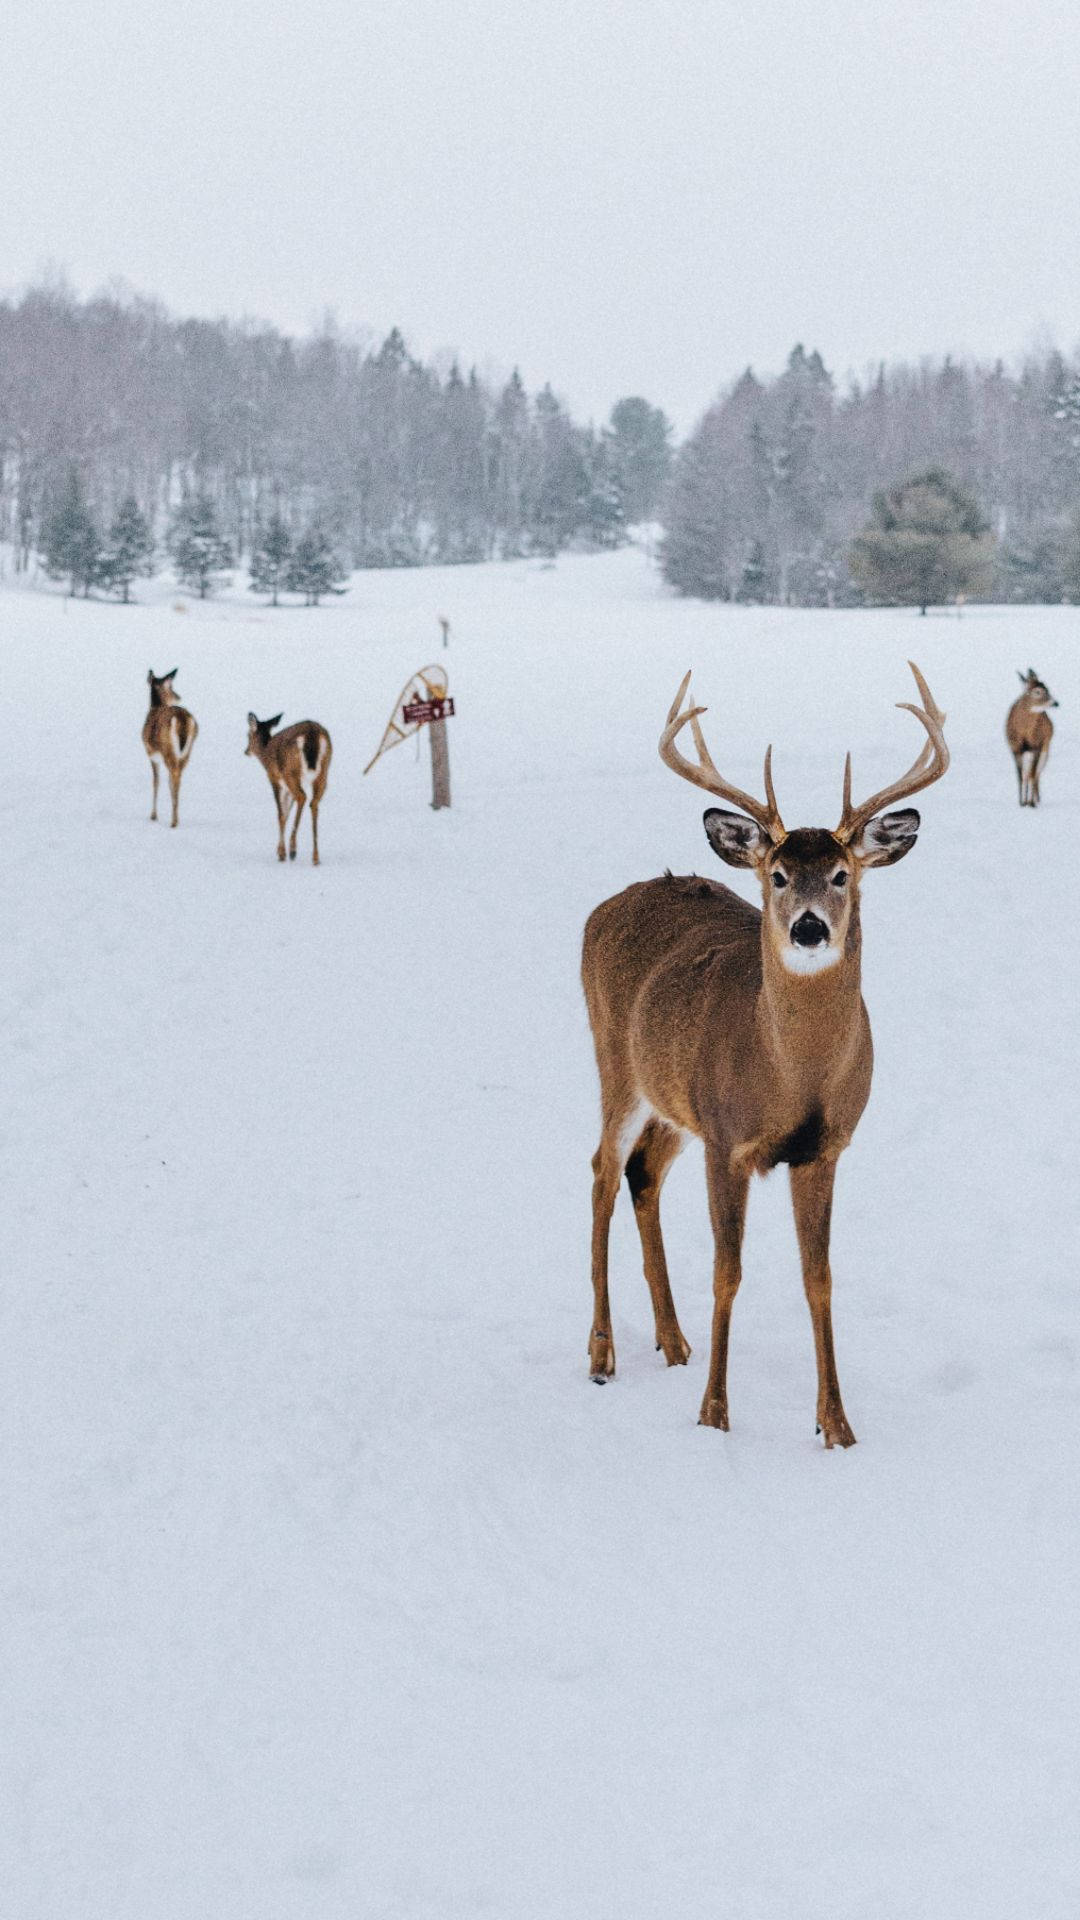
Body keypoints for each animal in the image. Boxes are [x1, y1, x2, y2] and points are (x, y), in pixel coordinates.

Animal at [142, 668, 198, 827]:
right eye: (171, 687)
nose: (178, 697)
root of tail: (183, 719)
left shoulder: (151, 754)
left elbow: (156, 782)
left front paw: (153, 816)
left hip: (167, 749)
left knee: (174, 775)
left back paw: (174, 822)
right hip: (187, 751)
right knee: (177, 776)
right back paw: (176, 818)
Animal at [245, 713, 333, 865]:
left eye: (248, 735)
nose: (246, 751)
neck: (266, 753)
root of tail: (312, 733)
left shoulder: (274, 777)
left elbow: (281, 814)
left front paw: (281, 853)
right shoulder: (286, 789)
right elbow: (286, 812)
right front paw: (279, 849)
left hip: (290, 771)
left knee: (302, 797)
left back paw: (293, 850)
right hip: (324, 771)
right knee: (313, 803)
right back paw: (315, 857)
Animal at [581, 662, 949, 1448]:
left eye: (842, 875)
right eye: (777, 876)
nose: (809, 929)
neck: (793, 1078)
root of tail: (607, 905)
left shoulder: (824, 1148)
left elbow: (820, 1279)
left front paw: (836, 1425)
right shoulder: (729, 1140)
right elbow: (729, 1271)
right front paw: (715, 1415)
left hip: (673, 1101)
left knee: (641, 1171)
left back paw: (674, 1342)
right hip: (617, 1065)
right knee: (600, 1171)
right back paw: (601, 1353)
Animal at [1006, 669, 1058, 807]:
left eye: (1048, 688)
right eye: (1037, 691)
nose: (1056, 703)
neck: (1025, 731)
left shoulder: (1037, 745)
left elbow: (1033, 774)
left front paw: (1031, 803)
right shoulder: (1015, 748)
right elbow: (1020, 776)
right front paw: (1021, 802)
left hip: (1045, 748)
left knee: (1036, 773)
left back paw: (1036, 799)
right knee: (1028, 773)